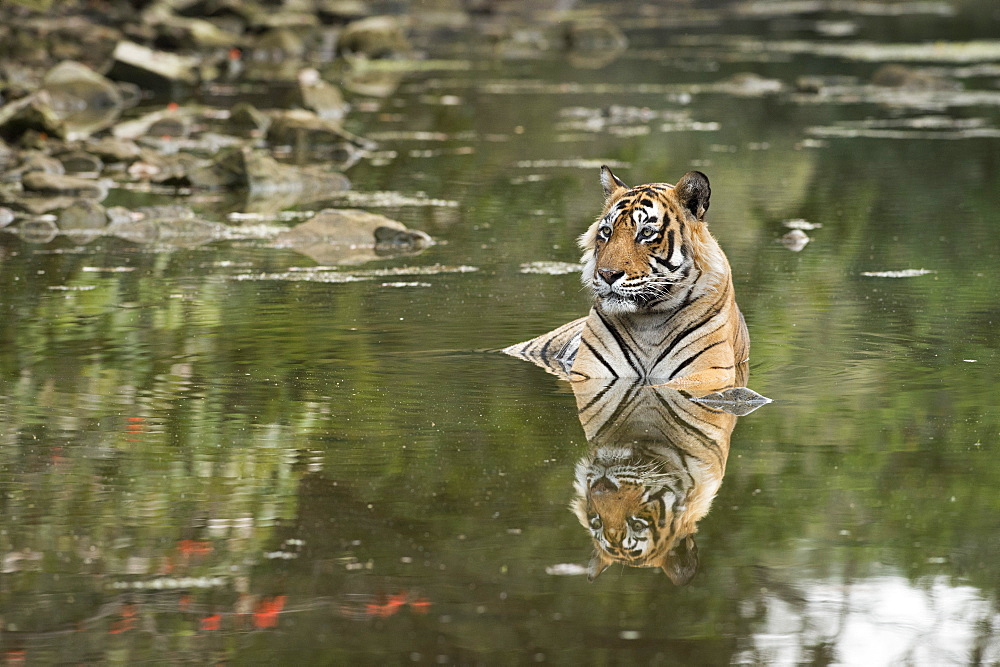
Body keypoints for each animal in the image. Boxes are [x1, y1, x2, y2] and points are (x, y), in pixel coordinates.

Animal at [504, 166, 748, 392]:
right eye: (606, 231)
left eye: (646, 233)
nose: (607, 274)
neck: (648, 321)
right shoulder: (588, 372)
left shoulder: (710, 371)